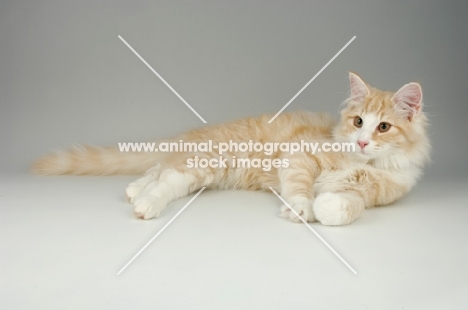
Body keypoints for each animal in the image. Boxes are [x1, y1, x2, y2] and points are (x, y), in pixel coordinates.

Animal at [31, 74, 430, 226]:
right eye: (358, 122)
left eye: (383, 127)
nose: (362, 141)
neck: (367, 161)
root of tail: (197, 132)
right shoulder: (299, 157)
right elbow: (300, 187)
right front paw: (302, 207)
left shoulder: (379, 191)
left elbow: (350, 204)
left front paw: (328, 206)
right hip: (208, 161)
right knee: (166, 177)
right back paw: (145, 203)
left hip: (208, 172)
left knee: (159, 169)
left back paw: (135, 191)